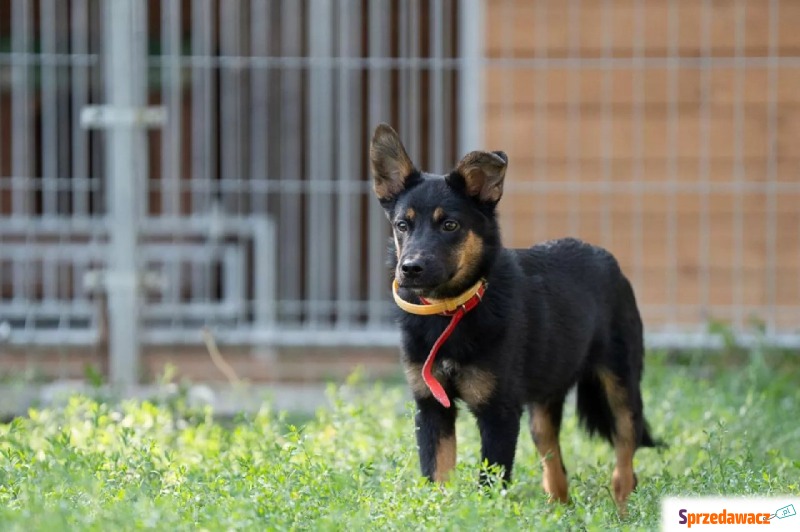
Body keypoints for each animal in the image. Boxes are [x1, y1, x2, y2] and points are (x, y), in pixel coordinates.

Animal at [368, 122, 656, 510]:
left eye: (450, 226)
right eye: (402, 225)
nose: (410, 269)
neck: (452, 311)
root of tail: (607, 258)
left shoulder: (499, 413)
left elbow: (490, 482)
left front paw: (485, 515)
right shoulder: (431, 408)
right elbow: (436, 476)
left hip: (621, 385)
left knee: (625, 456)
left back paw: (621, 506)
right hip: (541, 408)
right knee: (555, 470)